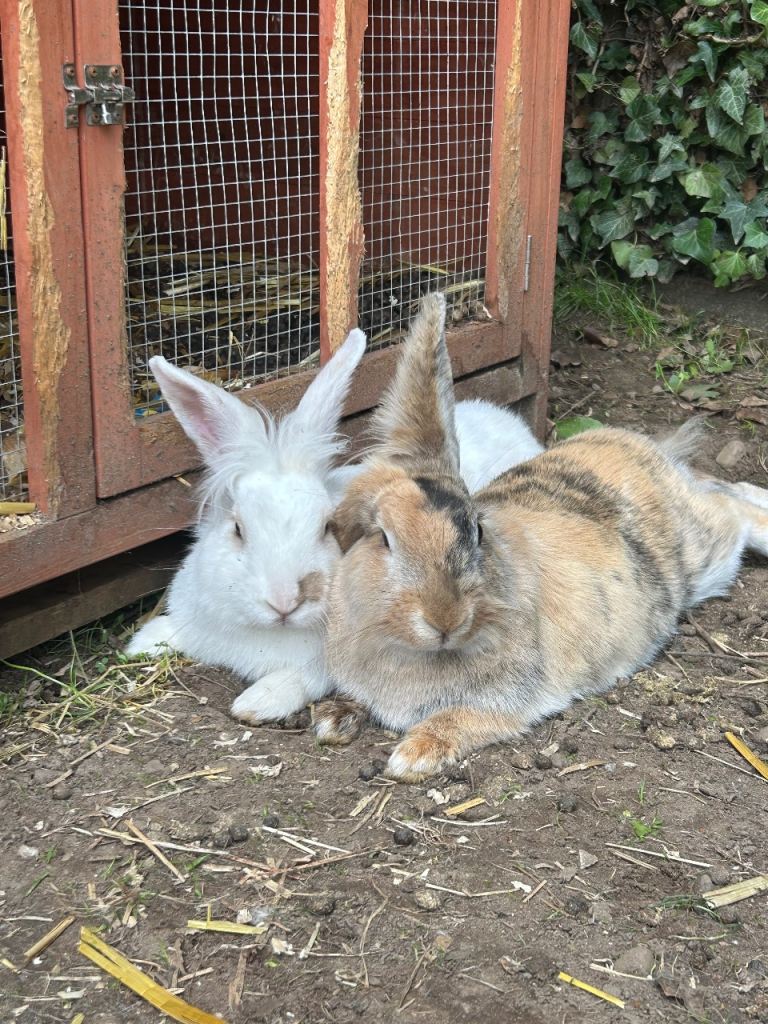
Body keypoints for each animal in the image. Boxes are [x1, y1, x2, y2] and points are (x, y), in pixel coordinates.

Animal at [125, 327, 544, 725]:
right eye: (238, 529)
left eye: (327, 526)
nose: (285, 601)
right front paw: (143, 640)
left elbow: (304, 677)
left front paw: (258, 701)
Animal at [317, 293, 768, 781]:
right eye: (384, 538)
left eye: (477, 530)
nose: (445, 619)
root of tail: (644, 448)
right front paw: (332, 721)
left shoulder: (513, 699)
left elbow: (462, 718)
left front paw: (412, 757)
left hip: (706, 550)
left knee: (733, 505)